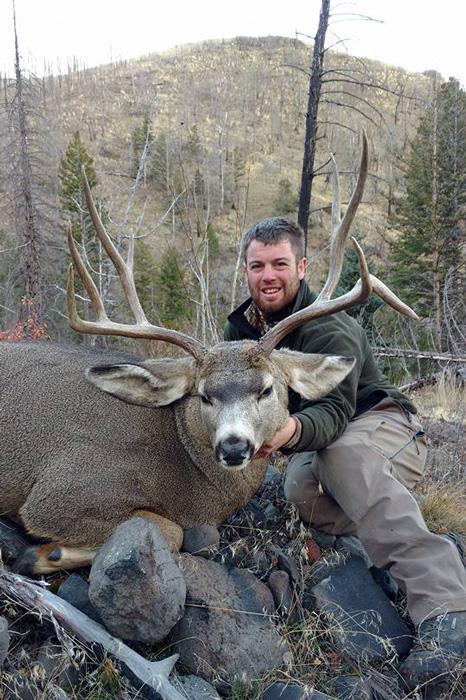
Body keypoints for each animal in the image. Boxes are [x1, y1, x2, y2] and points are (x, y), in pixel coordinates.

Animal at [0, 133, 418, 575]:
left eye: (267, 389)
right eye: (203, 395)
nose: (233, 447)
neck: (185, 467)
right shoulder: (60, 492)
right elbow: (171, 531)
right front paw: (40, 553)